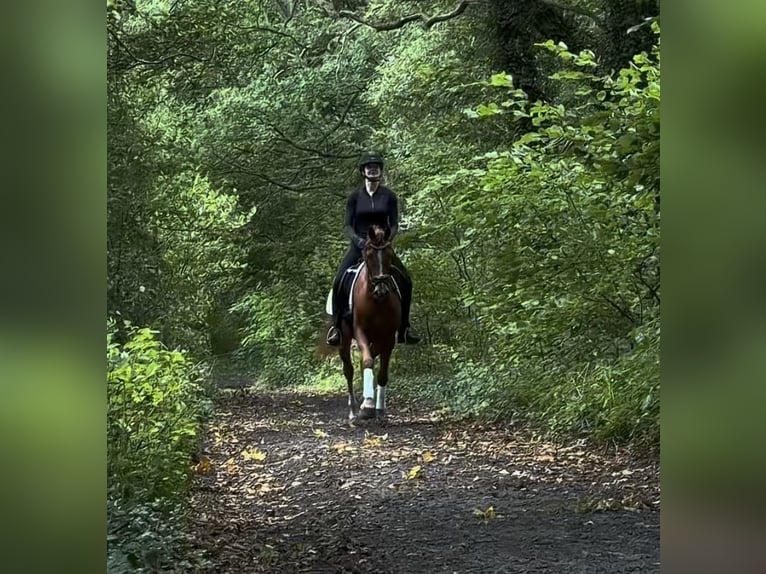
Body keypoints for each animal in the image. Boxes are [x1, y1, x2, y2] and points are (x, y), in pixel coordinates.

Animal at [338, 224, 401, 424]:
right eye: (369, 254)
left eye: (390, 254)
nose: (381, 289)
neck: (376, 301)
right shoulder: (360, 332)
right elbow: (366, 361)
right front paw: (367, 406)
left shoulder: (388, 338)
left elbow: (382, 374)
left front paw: (379, 410)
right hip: (344, 339)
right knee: (349, 370)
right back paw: (353, 410)